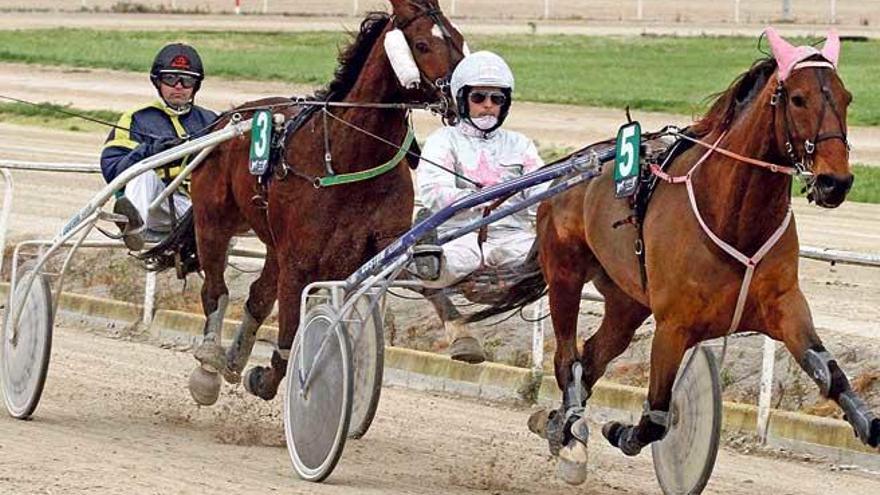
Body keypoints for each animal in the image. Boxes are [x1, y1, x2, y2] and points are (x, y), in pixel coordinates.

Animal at [182, 0, 464, 406]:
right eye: (423, 44)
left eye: (457, 38)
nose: (468, 92)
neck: (349, 156)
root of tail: (227, 118)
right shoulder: (300, 260)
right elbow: (289, 335)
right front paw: (270, 379)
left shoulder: (380, 240)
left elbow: (426, 278)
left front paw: (463, 336)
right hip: (213, 220)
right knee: (215, 290)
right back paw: (208, 366)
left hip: (272, 242)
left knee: (258, 296)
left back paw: (234, 359)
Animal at [470, 28, 868, 484]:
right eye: (799, 98)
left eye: (846, 98)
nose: (836, 181)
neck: (733, 217)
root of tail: (573, 168)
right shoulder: (674, 326)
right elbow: (657, 416)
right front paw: (619, 430)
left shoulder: (785, 307)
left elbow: (831, 373)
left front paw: (867, 423)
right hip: (565, 277)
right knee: (568, 358)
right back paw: (569, 432)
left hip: (627, 301)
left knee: (592, 357)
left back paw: (558, 426)